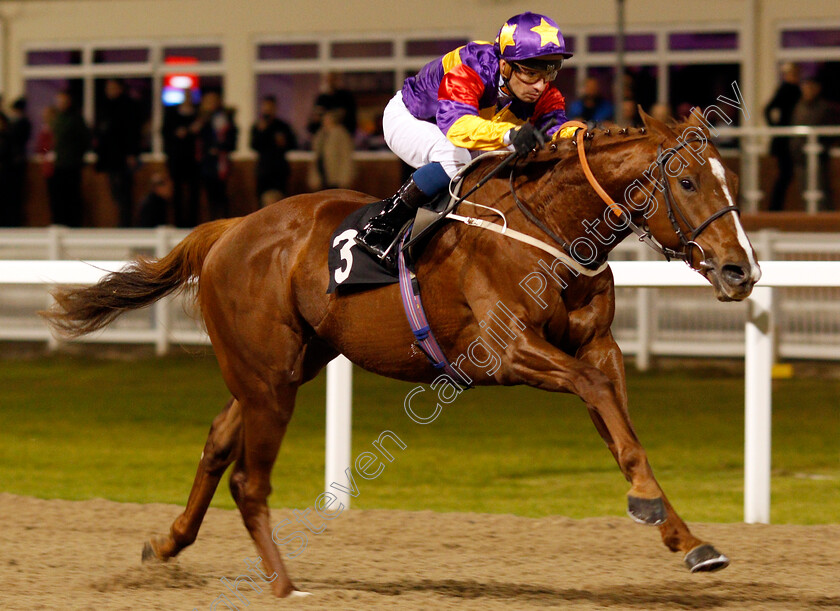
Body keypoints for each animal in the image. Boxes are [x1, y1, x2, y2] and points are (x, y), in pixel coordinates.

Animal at [41, 112, 760, 600]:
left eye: (730, 179)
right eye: (687, 180)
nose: (741, 270)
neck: (547, 225)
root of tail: (232, 228)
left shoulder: (598, 346)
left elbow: (619, 423)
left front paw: (686, 537)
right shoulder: (504, 350)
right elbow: (595, 392)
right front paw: (650, 507)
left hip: (286, 365)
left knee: (219, 441)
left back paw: (167, 542)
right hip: (269, 376)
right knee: (249, 477)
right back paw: (284, 585)